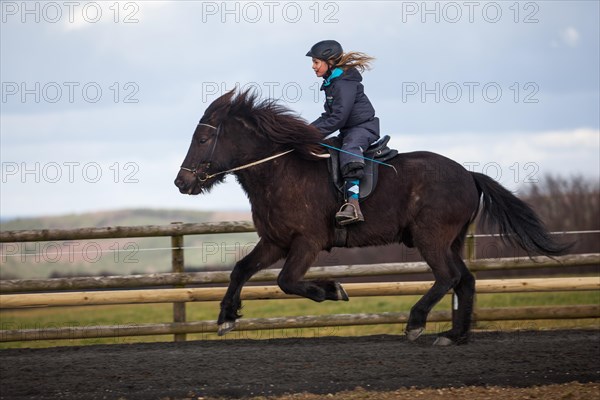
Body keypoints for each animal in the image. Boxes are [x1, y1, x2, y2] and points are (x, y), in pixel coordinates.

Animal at [173, 89, 568, 346]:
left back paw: (415, 323)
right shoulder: (275, 241)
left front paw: (332, 290)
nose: (181, 182)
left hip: (431, 237)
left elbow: (287, 281)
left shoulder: (306, 242)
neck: (280, 171)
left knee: (448, 276)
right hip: (451, 240)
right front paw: (226, 317)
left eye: (203, 138)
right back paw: (455, 336)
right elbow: (240, 270)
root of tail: (469, 175)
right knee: (465, 280)